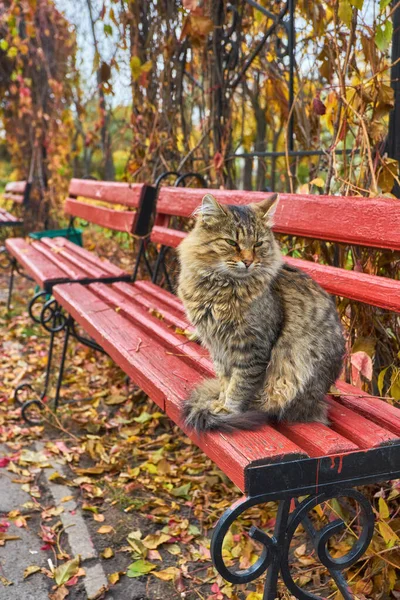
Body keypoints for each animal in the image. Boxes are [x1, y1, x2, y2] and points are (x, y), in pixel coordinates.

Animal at [177, 195, 346, 434]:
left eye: (258, 244)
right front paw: (219, 401)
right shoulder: (217, 346)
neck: (220, 288)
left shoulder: (252, 347)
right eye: (232, 243)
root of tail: (319, 402)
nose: (248, 261)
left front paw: (227, 410)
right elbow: (225, 380)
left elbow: (239, 385)